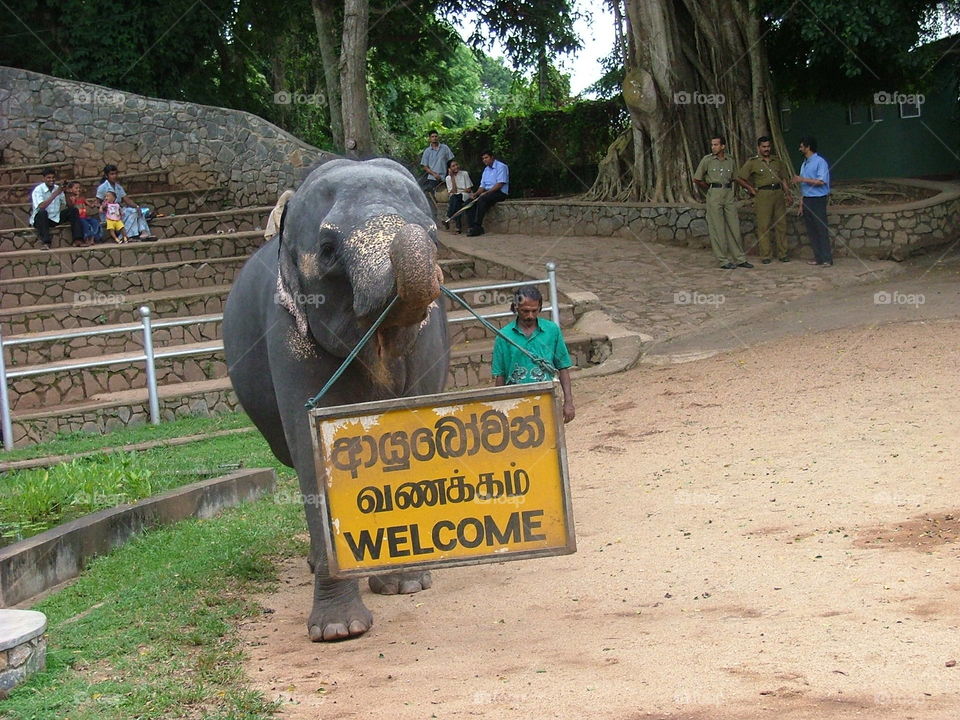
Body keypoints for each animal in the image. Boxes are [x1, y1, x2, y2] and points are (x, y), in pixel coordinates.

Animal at [223, 158, 450, 641]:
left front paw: (407, 585)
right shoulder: (289, 332)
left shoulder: (429, 338)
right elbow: (313, 450)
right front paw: (339, 631)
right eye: (327, 250)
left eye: (434, 236)